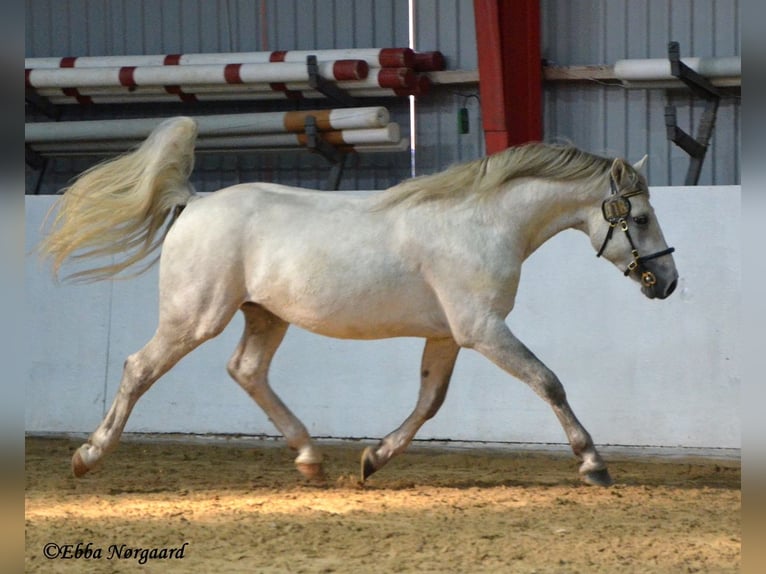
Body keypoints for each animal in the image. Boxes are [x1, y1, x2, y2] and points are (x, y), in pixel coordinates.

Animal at [40, 117, 680, 486]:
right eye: (641, 218)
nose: (667, 282)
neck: (482, 224)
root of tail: (194, 203)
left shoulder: (448, 335)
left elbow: (429, 402)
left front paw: (374, 458)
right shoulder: (482, 329)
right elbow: (548, 382)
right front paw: (594, 464)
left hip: (264, 316)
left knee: (246, 371)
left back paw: (310, 458)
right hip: (193, 317)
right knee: (138, 368)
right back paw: (88, 456)